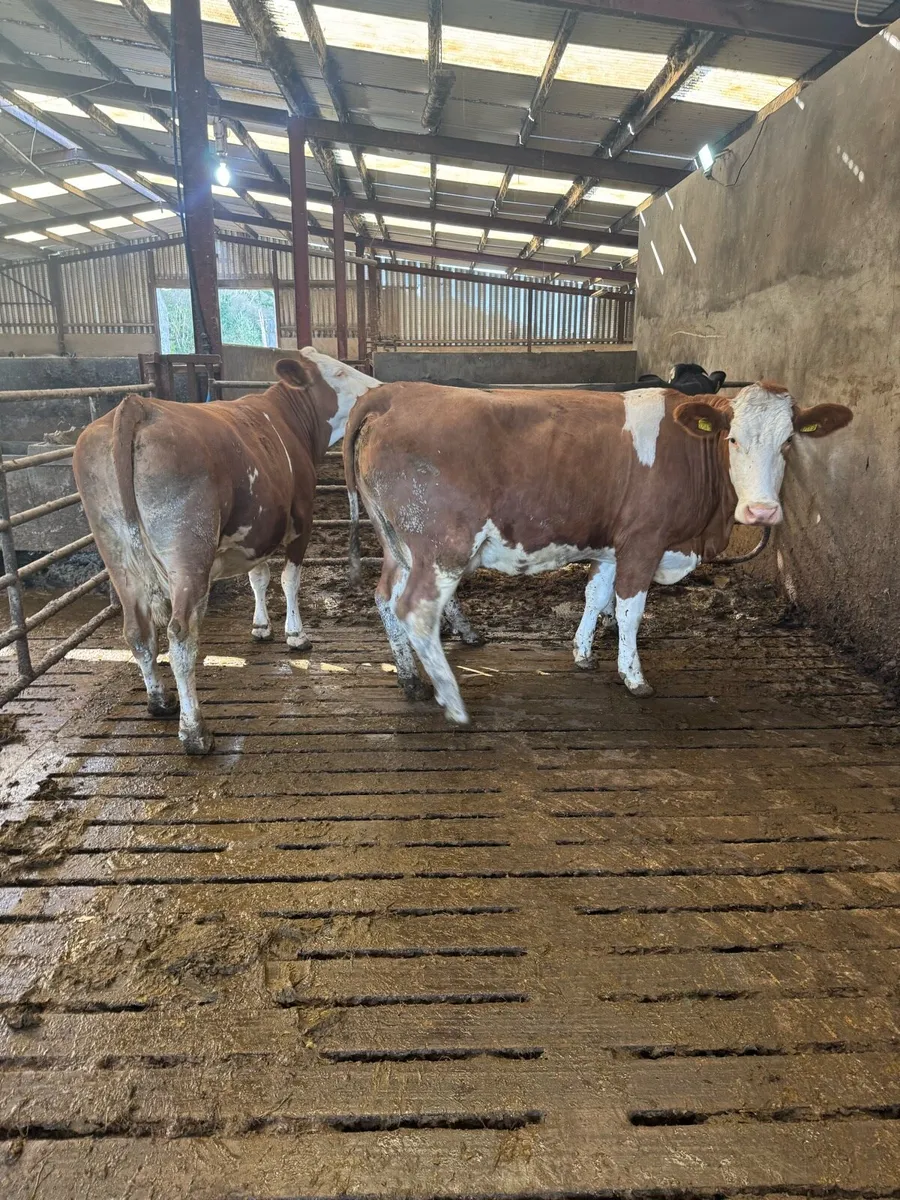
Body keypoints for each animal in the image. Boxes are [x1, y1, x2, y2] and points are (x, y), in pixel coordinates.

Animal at [73, 350, 379, 754]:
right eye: (340, 372)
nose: (379, 388)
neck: (289, 420)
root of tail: (136, 405)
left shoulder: (258, 531)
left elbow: (258, 577)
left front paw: (261, 627)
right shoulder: (302, 517)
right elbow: (289, 580)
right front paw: (296, 636)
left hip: (116, 551)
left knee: (137, 630)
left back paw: (160, 702)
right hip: (188, 550)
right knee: (180, 635)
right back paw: (195, 732)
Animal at [343, 381, 852, 723]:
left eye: (789, 441)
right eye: (732, 439)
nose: (762, 511)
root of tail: (396, 392)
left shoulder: (611, 546)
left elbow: (596, 595)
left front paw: (584, 653)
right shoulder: (644, 540)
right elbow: (629, 608)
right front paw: (633, 676)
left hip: (397, 543)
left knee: (385, 597)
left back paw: (410, 679)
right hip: (441, 544)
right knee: (417, 609)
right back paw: (452, 700)